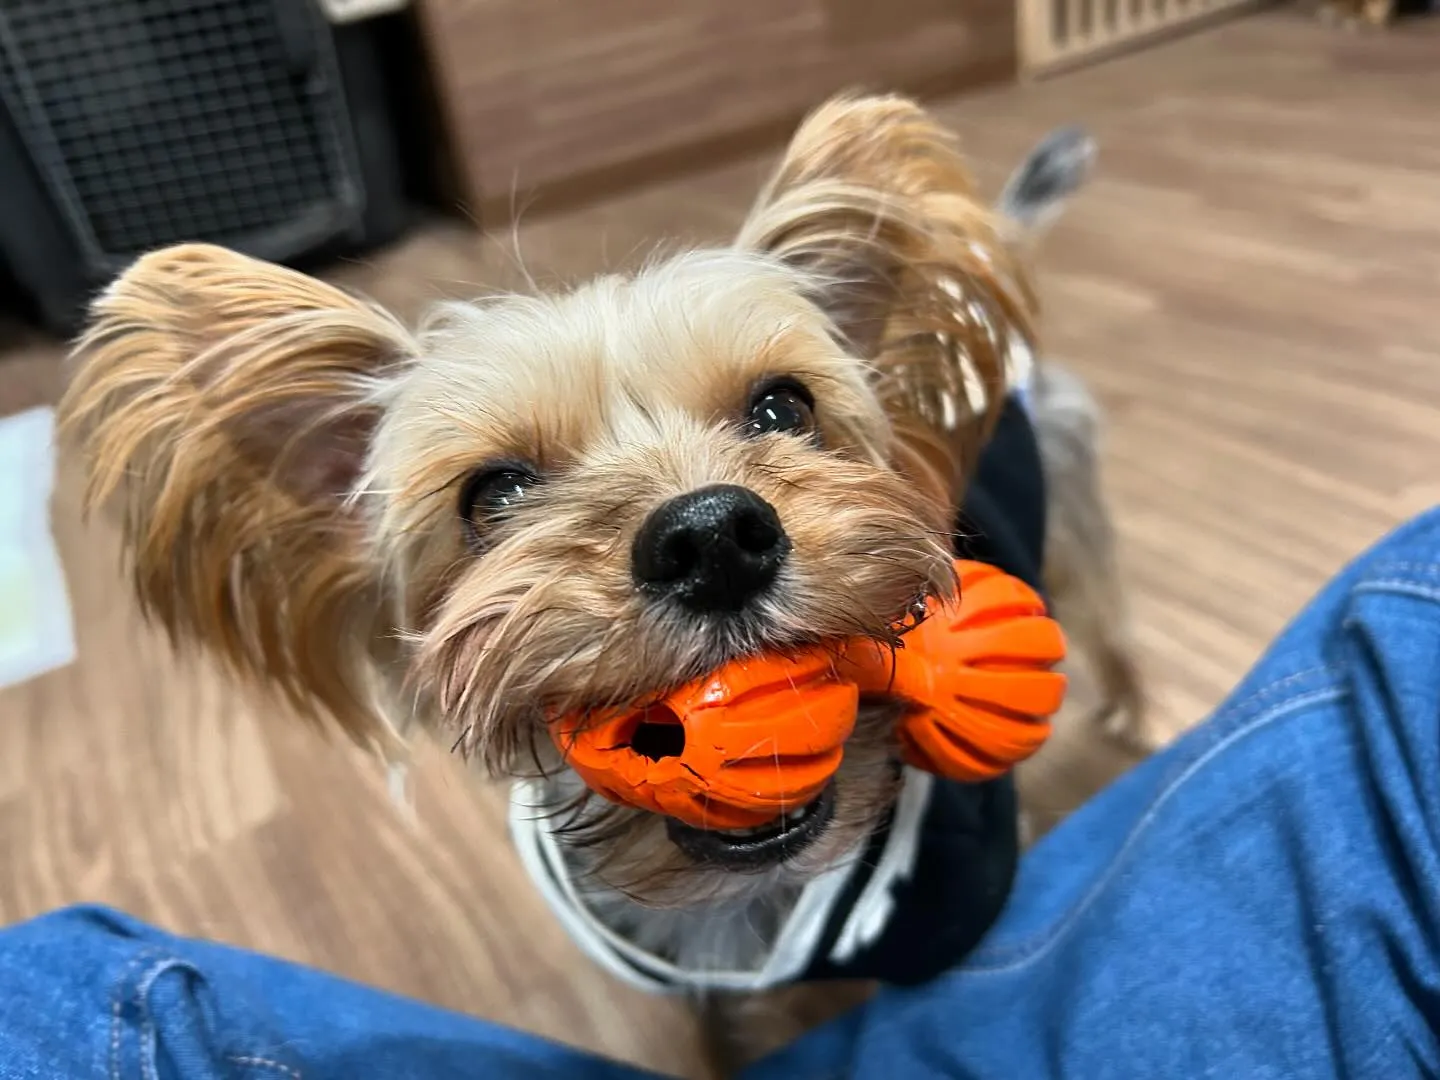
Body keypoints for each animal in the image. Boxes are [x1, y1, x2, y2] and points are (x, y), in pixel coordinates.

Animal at [53, 95, 1134, 1077]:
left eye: (784, 407)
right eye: (493, 493)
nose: (712, 537)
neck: (749, 891)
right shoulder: (679, 971)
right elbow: (715, 1033)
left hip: (1071, 513)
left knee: (1108, 617)